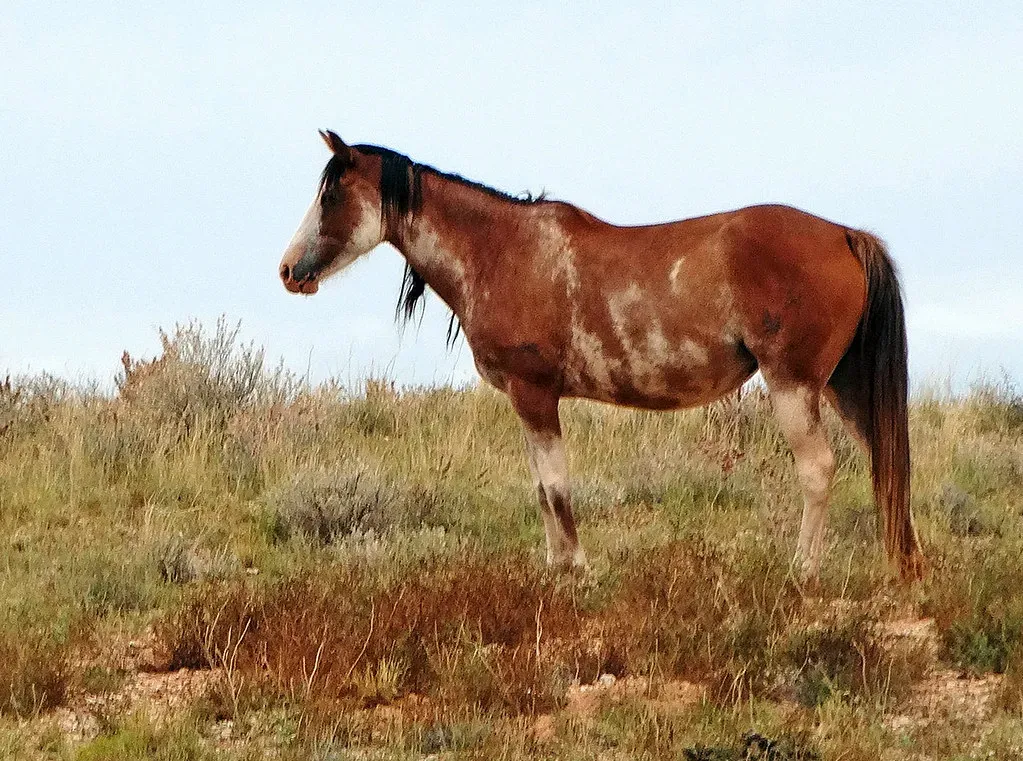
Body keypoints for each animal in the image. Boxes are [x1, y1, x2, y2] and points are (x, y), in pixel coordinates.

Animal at [279, 130, 924, 582]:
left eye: (331, 193)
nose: (288, 271)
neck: (502, 251)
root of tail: (845, 234)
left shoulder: (535, 394)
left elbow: (557, 486)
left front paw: (575, 569)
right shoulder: (526, 402)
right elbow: (542, 488)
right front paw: (556, 569)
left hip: (793, 385)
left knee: (818, 469)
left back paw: (802, 572)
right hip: (843, 387)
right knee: (885, 462)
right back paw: (906, 567)